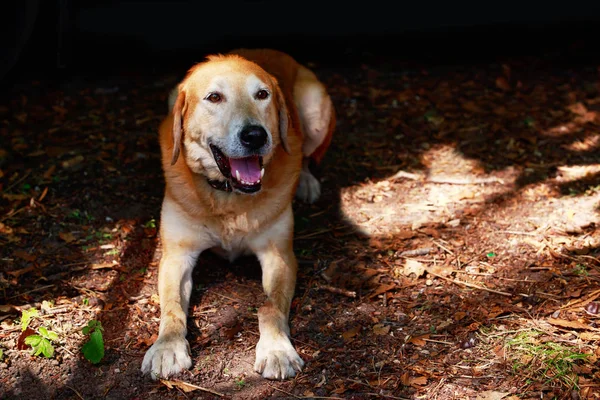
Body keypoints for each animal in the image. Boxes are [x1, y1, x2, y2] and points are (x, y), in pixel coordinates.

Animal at [142, 48, 338, 380]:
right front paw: (168, 347)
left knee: (306, 155)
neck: (229, 197)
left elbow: (270, 307)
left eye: (262, 94)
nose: (255, 135)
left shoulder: (279, 255)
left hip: (315, 111)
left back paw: (306, 181)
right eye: (214, 97)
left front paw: (276, 349)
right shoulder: (176, 256)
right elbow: (171, 307)